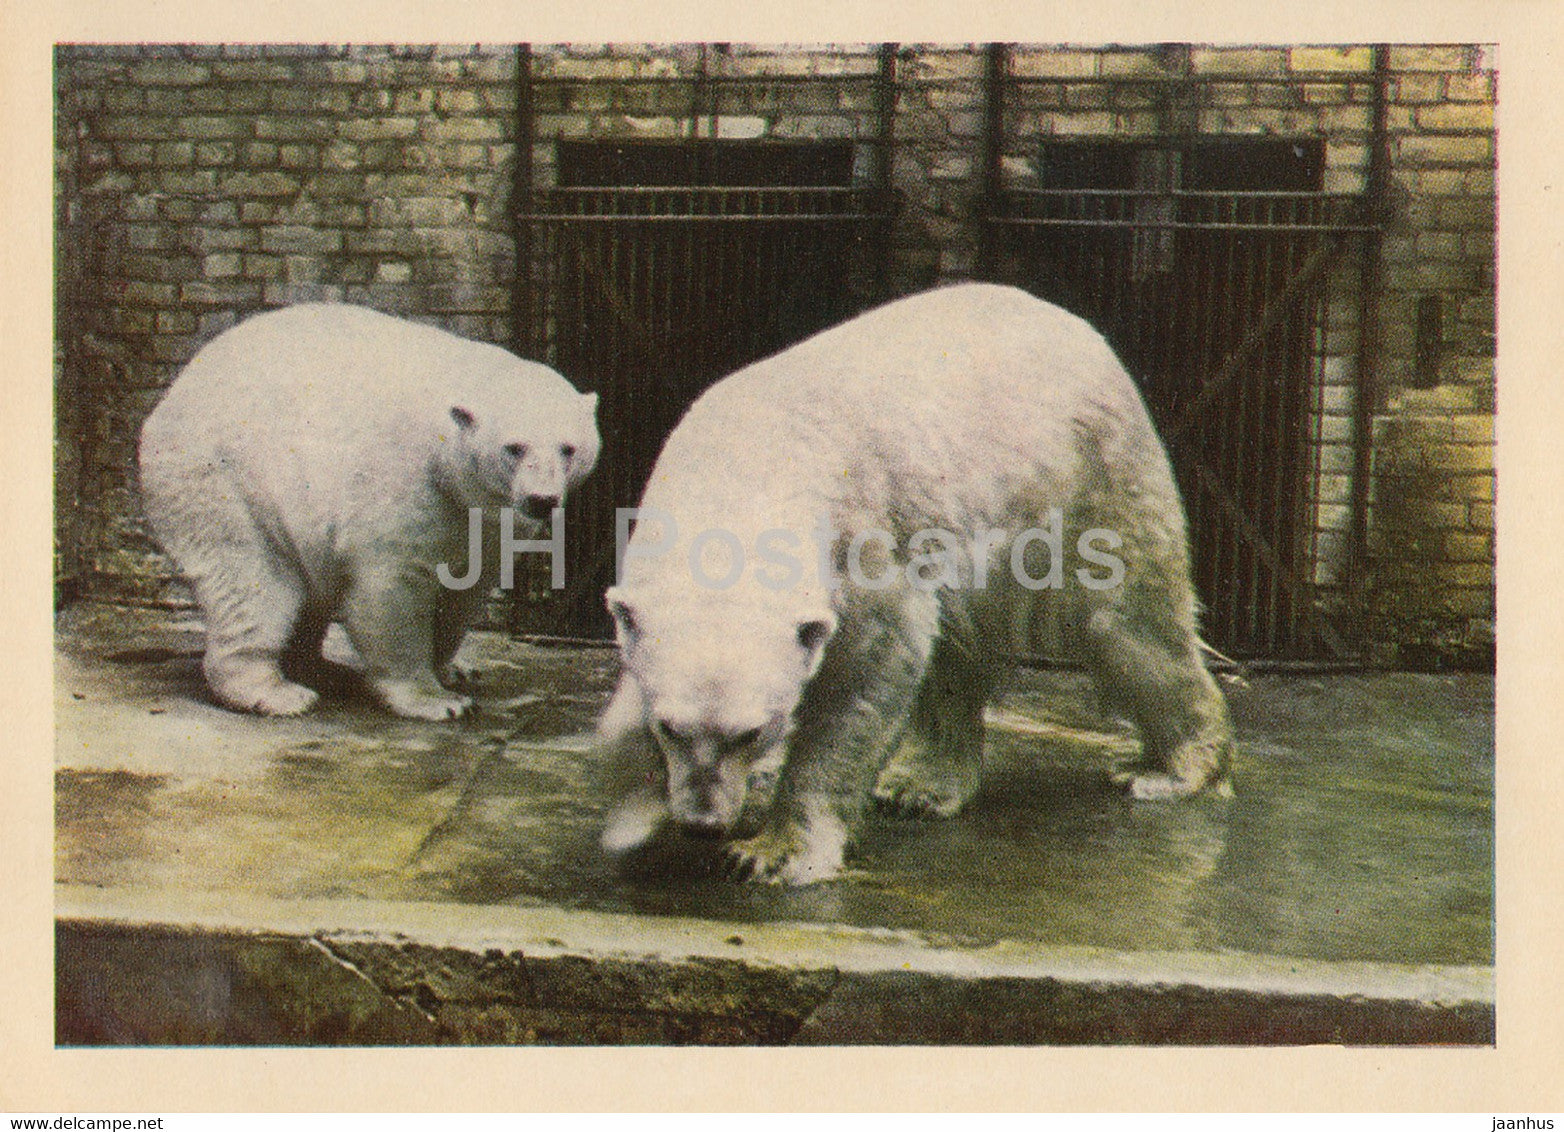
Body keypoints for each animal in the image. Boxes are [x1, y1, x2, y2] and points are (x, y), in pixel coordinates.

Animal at [138, 303, 600, 721]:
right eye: (514, 447)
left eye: (568, 448)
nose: (542, 499)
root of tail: (172, 395)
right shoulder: (407, 487)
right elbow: (392, 588)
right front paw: (438, 701)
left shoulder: (490, 522)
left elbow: (464, 590)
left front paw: (452, 669)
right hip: (226, 483)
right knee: (253, 582)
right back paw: (277, 692)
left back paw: (318, 667)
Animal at [598, 282, 1233, 885]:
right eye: (669, 726)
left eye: (754, 732)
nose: (703, 824)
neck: (748, 467)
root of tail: (1075, 324)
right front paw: (633, 810)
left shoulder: (862, 545)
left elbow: (870, 669)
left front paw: (773, 854)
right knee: (959, 648)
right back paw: (921, 787)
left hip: (1089, 475)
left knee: (1127, 622)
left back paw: (1176, 769)